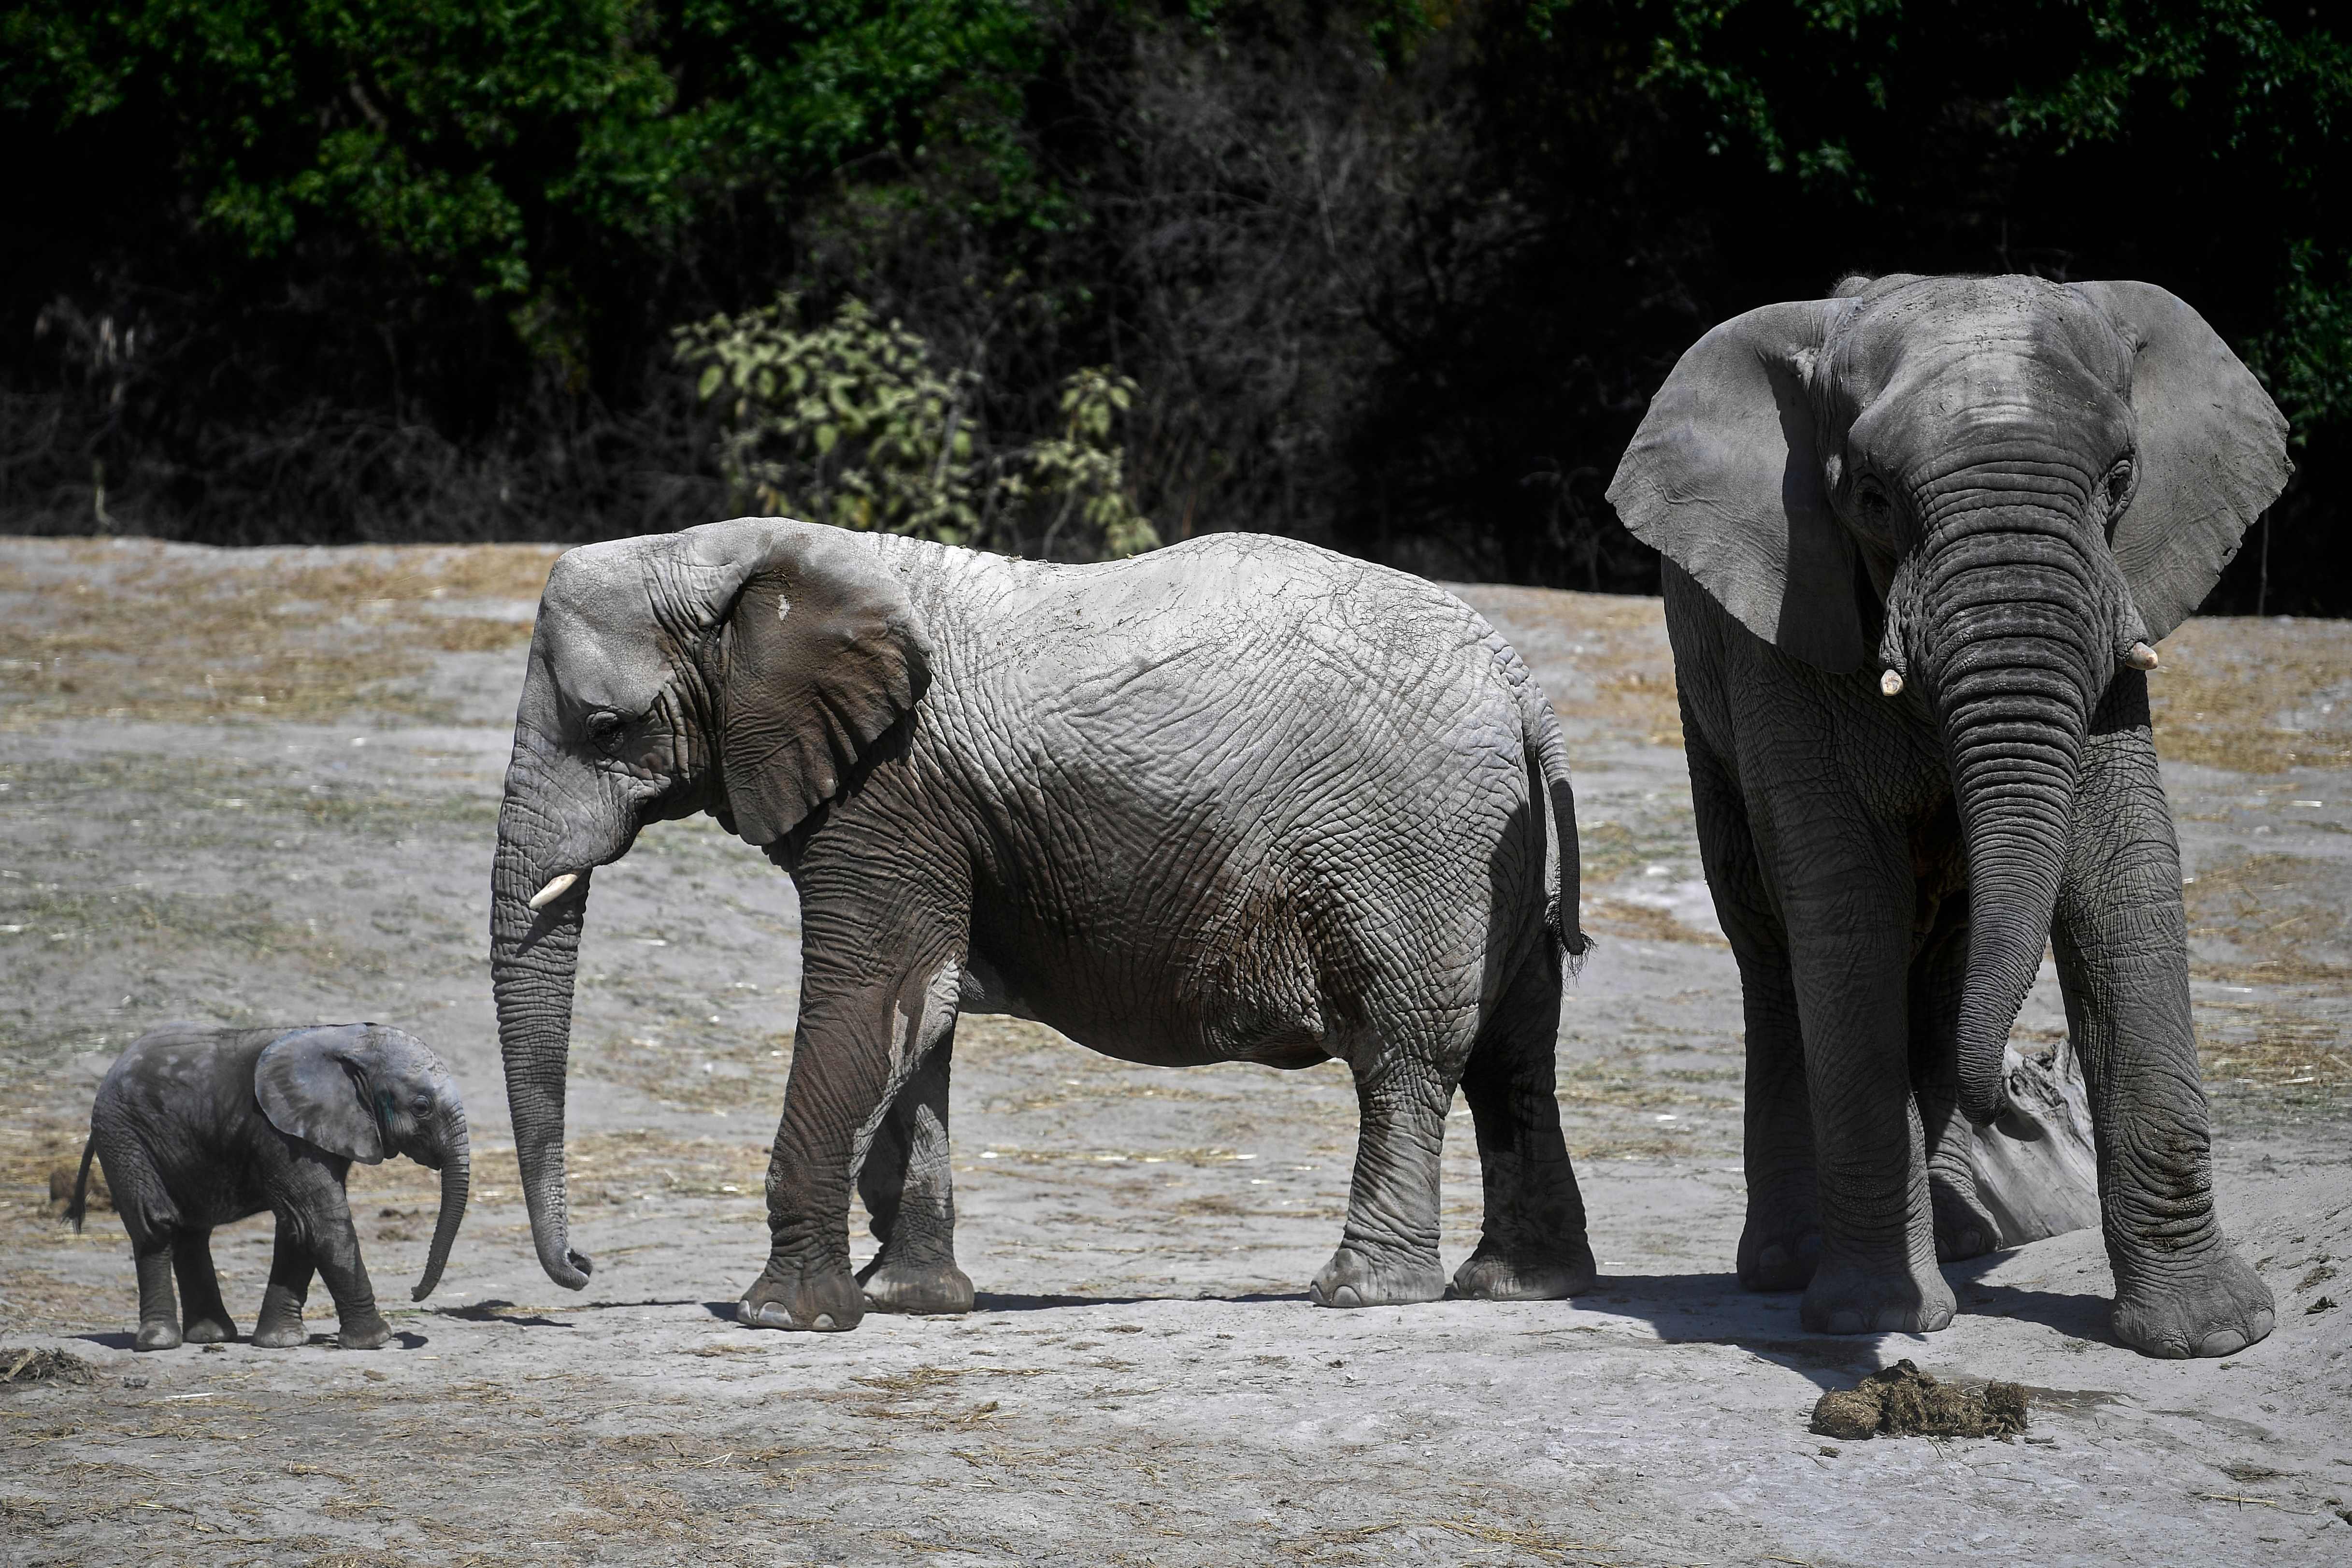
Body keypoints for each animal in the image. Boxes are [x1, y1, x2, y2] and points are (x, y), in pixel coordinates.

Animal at [70, 1029, 468, 1354]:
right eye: (421, 1107)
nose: (413, 1294)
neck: (348, 1041)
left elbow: (298, 1229)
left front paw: (283, 1342)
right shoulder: (279, 1132)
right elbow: (321, 1222)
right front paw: (376, 1340)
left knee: (192, 1232)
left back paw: (213, 1337)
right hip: (124, 1138)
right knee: (156, 1225)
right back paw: (160, 1343)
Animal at [496, 522, 1599, 1335]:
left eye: (606, 727)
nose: (582, 1268)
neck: (745, 555)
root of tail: (1522, 687)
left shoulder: (888, 790)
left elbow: (874, 995)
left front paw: (786, 1319)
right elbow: (922, 1015)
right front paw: (914, 1303)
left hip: (1407, 848)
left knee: (1405, 1058)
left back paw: (1357, 1293)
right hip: (1482, 850)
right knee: (1515, 1058)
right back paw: (1517, 1285)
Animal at [1608, 276, 2286, 1354]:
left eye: (2121, 476)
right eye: (1871, 498)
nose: (2016, 1096)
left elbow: (2119, 872)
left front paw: (2216, 1334)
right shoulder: (1788, 622)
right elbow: (1845, 911)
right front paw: (1872, 1320)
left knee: (1942, 964)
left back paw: (1964, 1235)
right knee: (1772, 946)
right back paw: (1794, 1264)